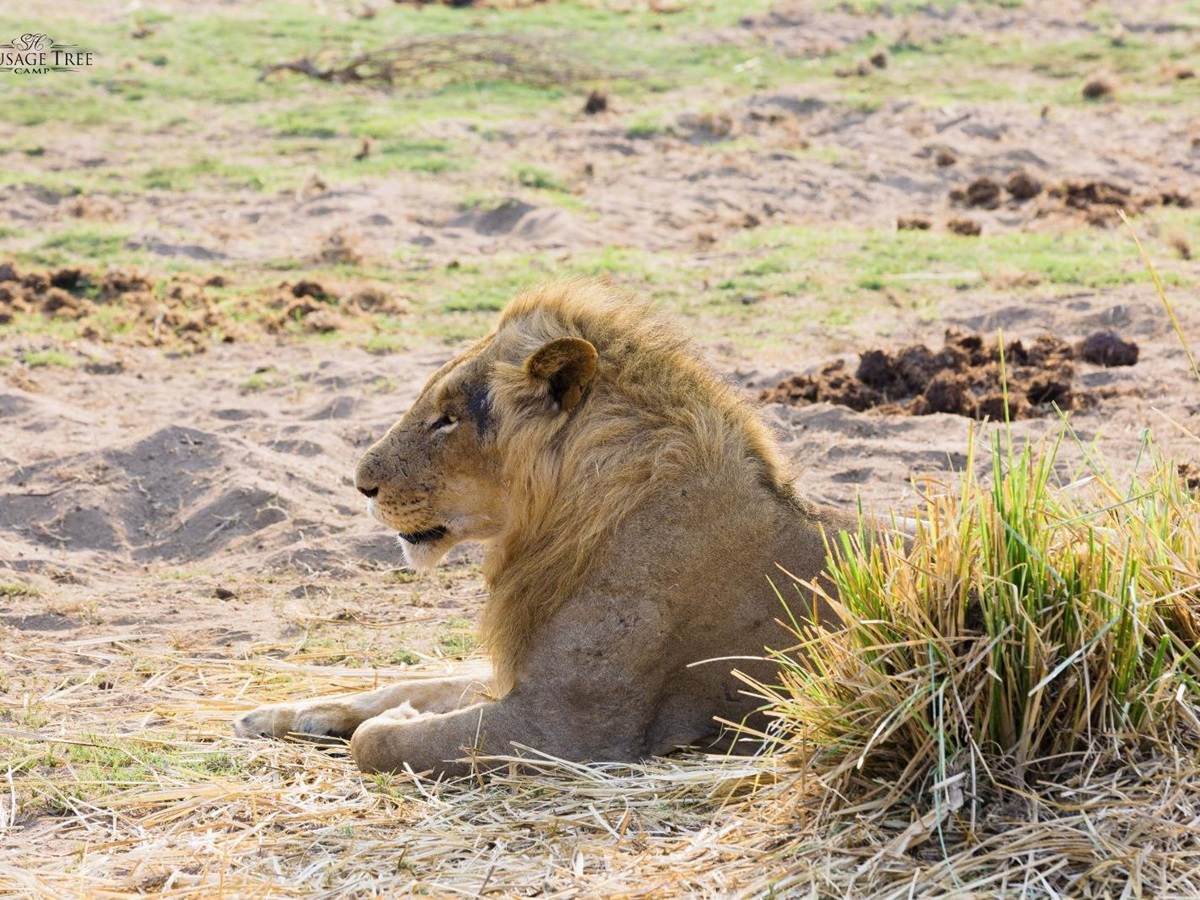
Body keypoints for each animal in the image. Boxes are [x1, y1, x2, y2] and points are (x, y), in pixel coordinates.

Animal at [234, 281, 874, 776]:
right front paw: (292, 713)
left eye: (447, 419)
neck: (560, 523)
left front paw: (394, 721)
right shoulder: (522, 676)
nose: (360, 484)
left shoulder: (568, 728)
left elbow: (381, 741)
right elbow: (411, 683)